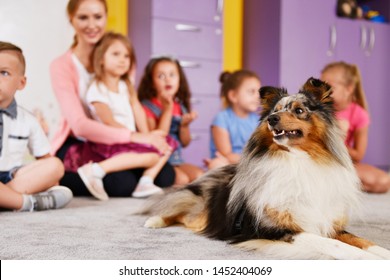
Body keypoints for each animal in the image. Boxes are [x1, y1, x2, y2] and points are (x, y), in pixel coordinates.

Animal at [141, 77, 390, 260]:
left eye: (299, 110)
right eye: (275, 110)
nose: (272, 119)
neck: (298, 161)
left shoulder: (329, 223)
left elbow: (363, 241)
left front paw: (381, 253)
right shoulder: (277, 230)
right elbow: (332, 245)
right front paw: (361, 258)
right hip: (202, 212)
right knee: (179, 212)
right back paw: (154, 221)